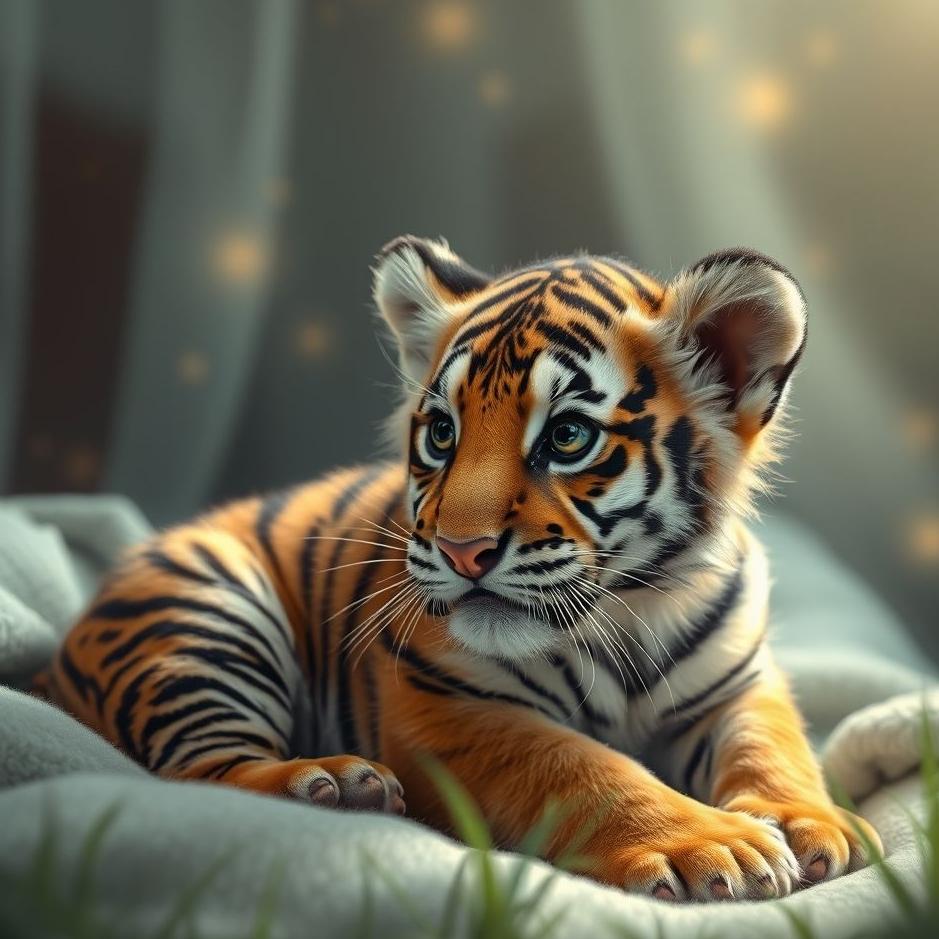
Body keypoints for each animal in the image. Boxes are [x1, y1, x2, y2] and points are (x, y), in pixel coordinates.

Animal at [43, 235, 880, 902]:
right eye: (441, 433)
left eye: (568, 436)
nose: (460, 550)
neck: (630, 608)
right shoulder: (448, 708)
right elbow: (581, 766)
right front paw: (711, 846)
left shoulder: (738, 683)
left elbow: (770, 743)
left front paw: (811, 823)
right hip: (204, 620)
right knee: (200, 774)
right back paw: (332, 787)